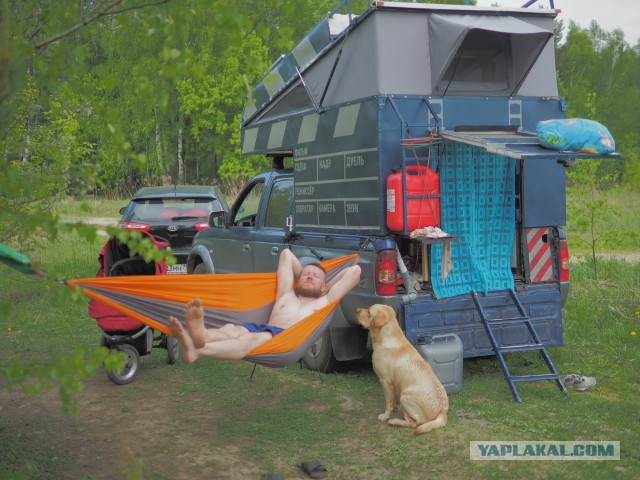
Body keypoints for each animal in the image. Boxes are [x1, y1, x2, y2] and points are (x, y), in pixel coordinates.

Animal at [356, 306, 450, 436]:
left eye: (369, 311)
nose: (356, 310)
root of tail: (442, 412)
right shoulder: (394, 383)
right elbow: (393, 401)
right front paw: (396, 408)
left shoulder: (385, 381)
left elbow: (388, 403)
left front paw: (385, 416)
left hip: (405, 396)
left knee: (414, 423)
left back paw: (394, 421)